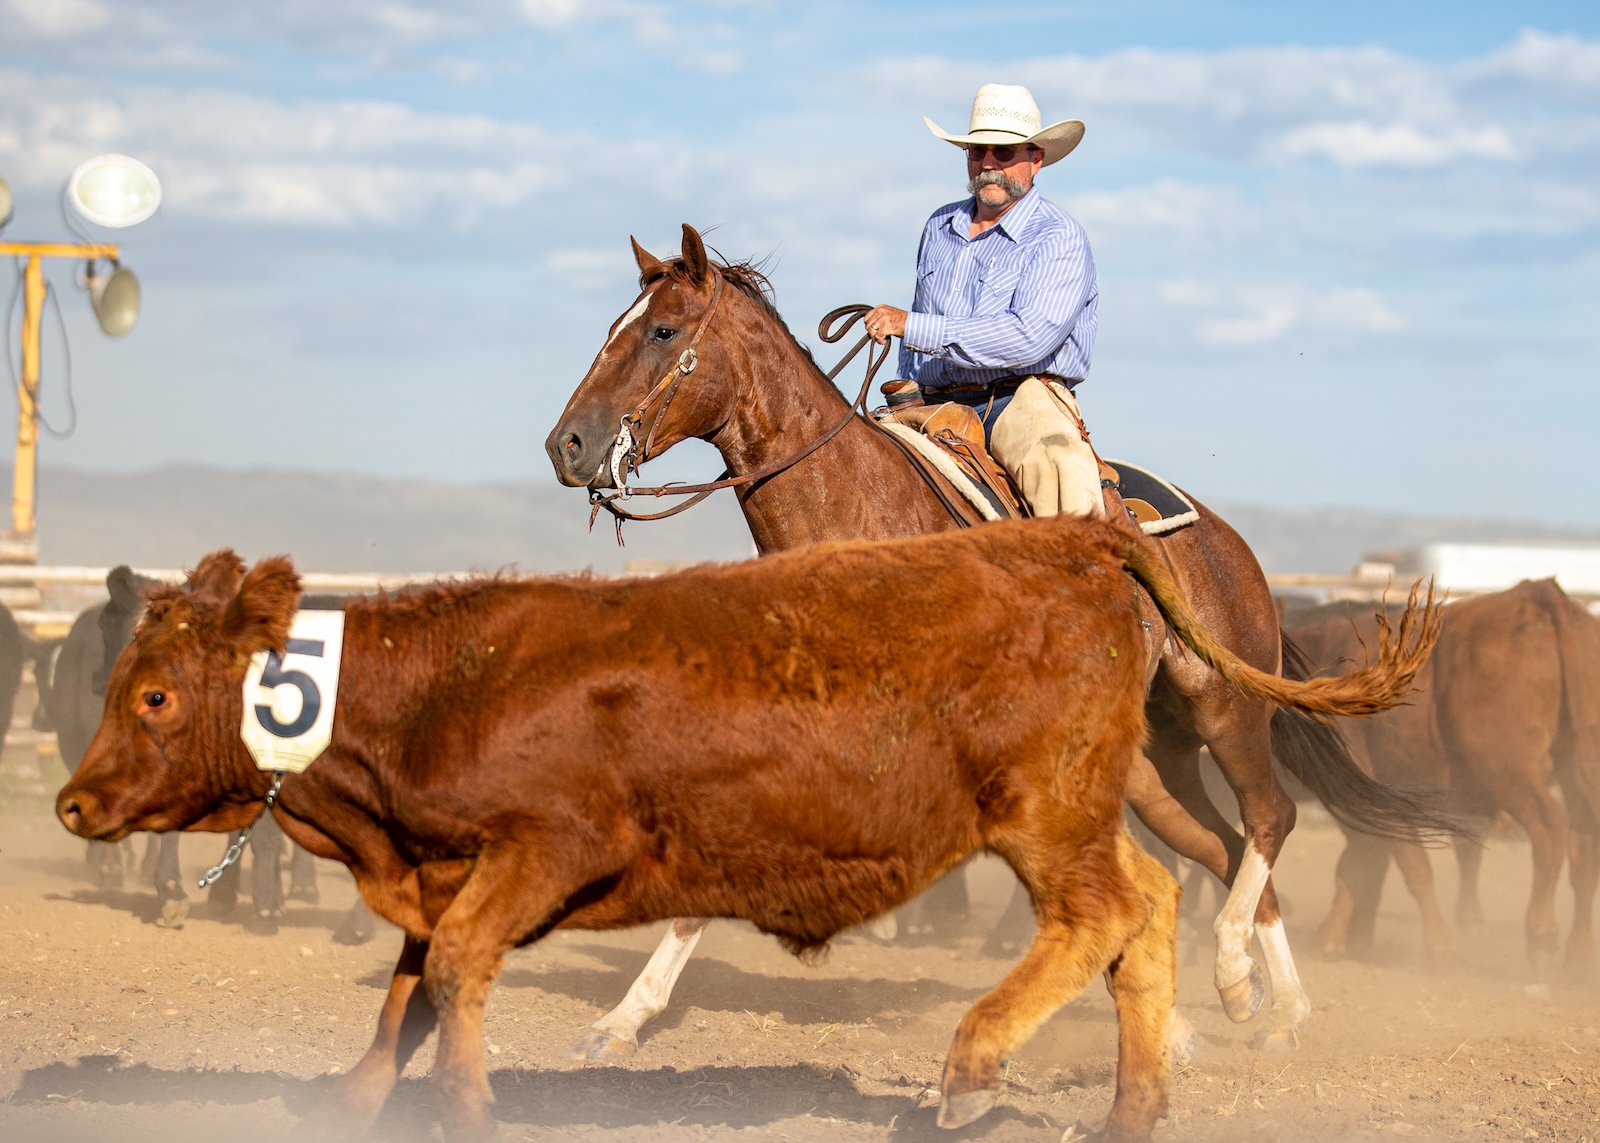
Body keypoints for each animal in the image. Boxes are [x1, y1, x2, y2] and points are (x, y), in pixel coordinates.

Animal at [58, 523, 1436, 1142]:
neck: (450, 684)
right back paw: (1130, 1106)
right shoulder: (446, 870)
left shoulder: (544, 850)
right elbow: (408, 988)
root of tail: (1064, 535)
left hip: (1045, 816)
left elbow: (448, 973)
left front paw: (468, 1105)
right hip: (1082, 808)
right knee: (1146, 907)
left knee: (1108, 913)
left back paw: (973, 1067)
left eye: (156, 696)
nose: (73, 801)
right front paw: (352, 1099)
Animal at [1286, 580, 1600, 977]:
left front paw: (1438, 947)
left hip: (1510, 771)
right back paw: (1580, 955)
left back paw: (1542, 934)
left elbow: (1400, 867)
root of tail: (1538, 598)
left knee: (1550, 827)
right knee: (1585, 844)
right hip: (1574, 769)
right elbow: (1365, 864)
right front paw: (1341, 938)